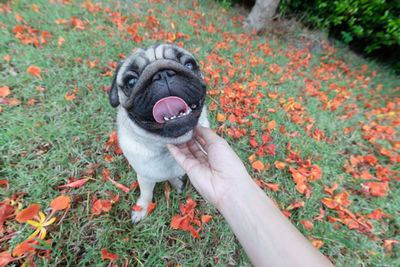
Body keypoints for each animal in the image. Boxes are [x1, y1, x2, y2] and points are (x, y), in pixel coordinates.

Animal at [109, 44, 209, 224]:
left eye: (189, 65)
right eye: (131, 82)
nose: (163, 74)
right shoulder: (145, 177)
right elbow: (146, 195)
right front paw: (141, 209)